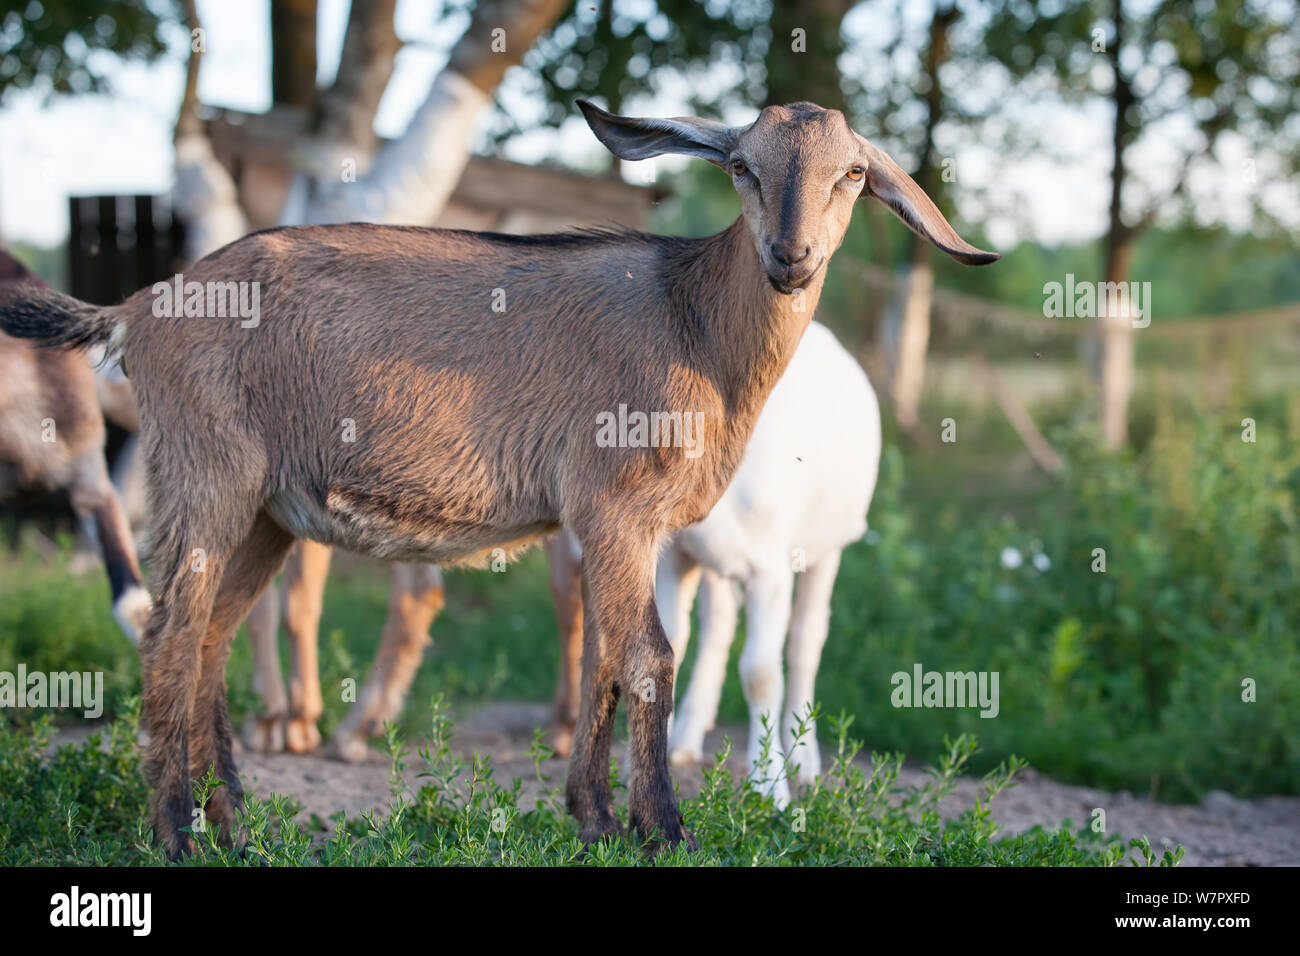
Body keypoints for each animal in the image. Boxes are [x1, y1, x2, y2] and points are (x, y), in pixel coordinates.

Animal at [0, 100, 993, 858]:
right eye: (744, 166)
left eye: (852, 174)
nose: (792, 257)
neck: (692, 322)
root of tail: (137, 309)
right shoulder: (618, 507)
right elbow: (647, 658)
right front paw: (664, 831)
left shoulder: (610, 527)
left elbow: (601, 660)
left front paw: (592, 820)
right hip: (206, 474)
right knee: (167, 632)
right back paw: (176, 833)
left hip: (265, 513)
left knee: (210, 635)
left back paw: (235, 823)